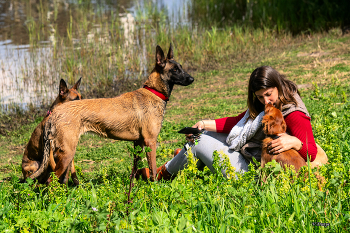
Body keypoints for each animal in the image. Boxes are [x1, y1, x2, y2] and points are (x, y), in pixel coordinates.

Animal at [28, 44, 194, 184]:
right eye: (175, 70)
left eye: (180, 67)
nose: (192, 78)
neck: (153, 92)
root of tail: (54, 113)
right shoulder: (150, 142)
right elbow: (153, 170)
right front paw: (154, 187)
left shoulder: (138, 143)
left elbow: (135, 169)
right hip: (66, 154)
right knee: (50, 181)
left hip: (65, 155)